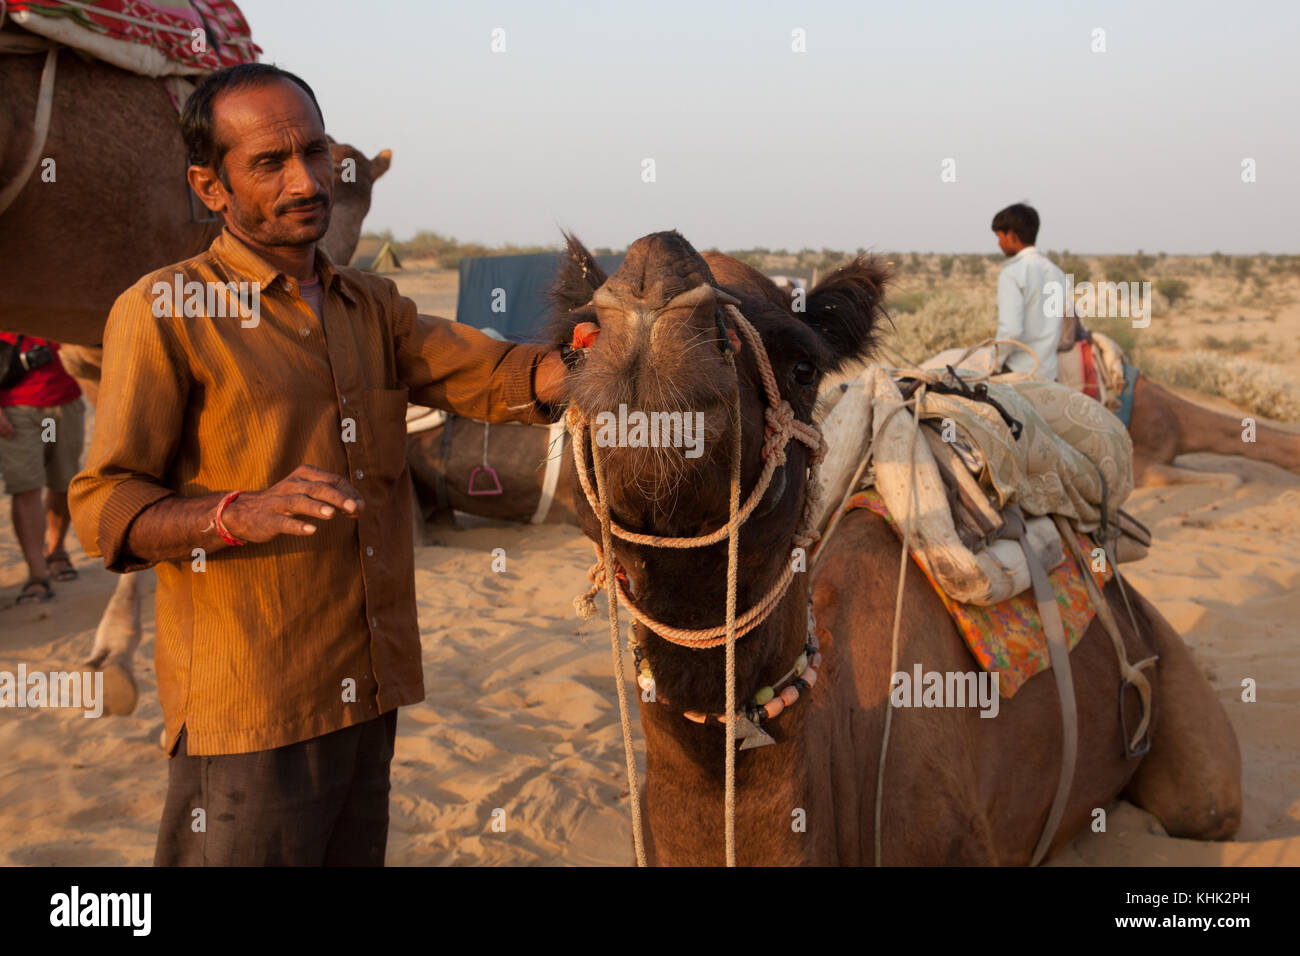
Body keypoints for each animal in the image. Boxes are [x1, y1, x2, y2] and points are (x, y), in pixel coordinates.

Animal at [2, 48, 392, 712]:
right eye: (272, 162)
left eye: (358, 195)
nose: (329, 247)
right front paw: (118, 659)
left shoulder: (93, 334)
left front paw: (113, 657)